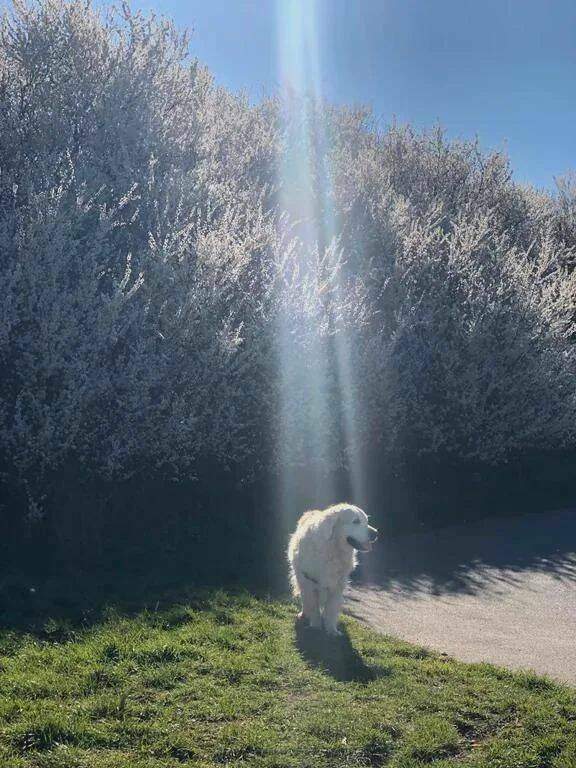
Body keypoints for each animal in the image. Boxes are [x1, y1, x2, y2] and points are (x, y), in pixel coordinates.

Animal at [288, 504, 378, 636]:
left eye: (366, 521)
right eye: (356, 521)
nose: (376, 533)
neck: (333, 550)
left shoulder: (337, 586)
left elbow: (331, 610)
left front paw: (331, 631)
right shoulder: (310, 584)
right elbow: (314, 608)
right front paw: (316, 626)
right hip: (301, 579)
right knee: (305, 600)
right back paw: (304, 614)